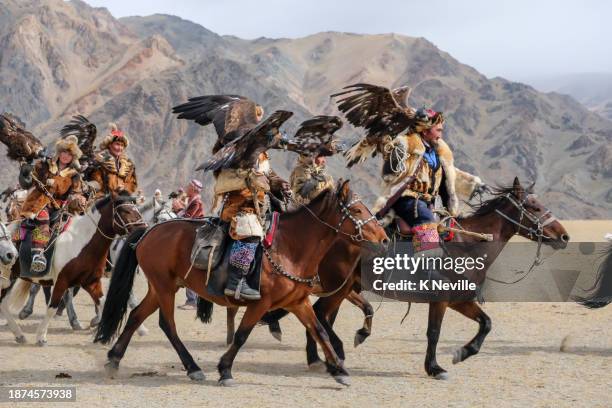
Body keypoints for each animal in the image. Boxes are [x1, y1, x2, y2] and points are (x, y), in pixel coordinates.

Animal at [0, 191, 145, 344]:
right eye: (125, 210)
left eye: (137, 209)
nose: (144, 229)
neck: (81, 241)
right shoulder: (62, 281)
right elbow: (52, 307)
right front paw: (41, 336)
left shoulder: (91, 282)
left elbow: (104, 303)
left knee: (3, 303)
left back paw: (19, 335)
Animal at [94, 181, 388, 386]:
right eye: (357, 210)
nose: (384, 239)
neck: (290, 246)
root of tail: (148, 232)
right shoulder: (261, 303)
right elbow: (242, 335)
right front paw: (225, 370)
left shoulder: (298, 302)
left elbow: (320, 331)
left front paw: (339, 370)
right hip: (164, 287)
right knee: (167, 325)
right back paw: (193, 368)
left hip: (161, 286)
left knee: (136, 315)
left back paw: (114, 359)